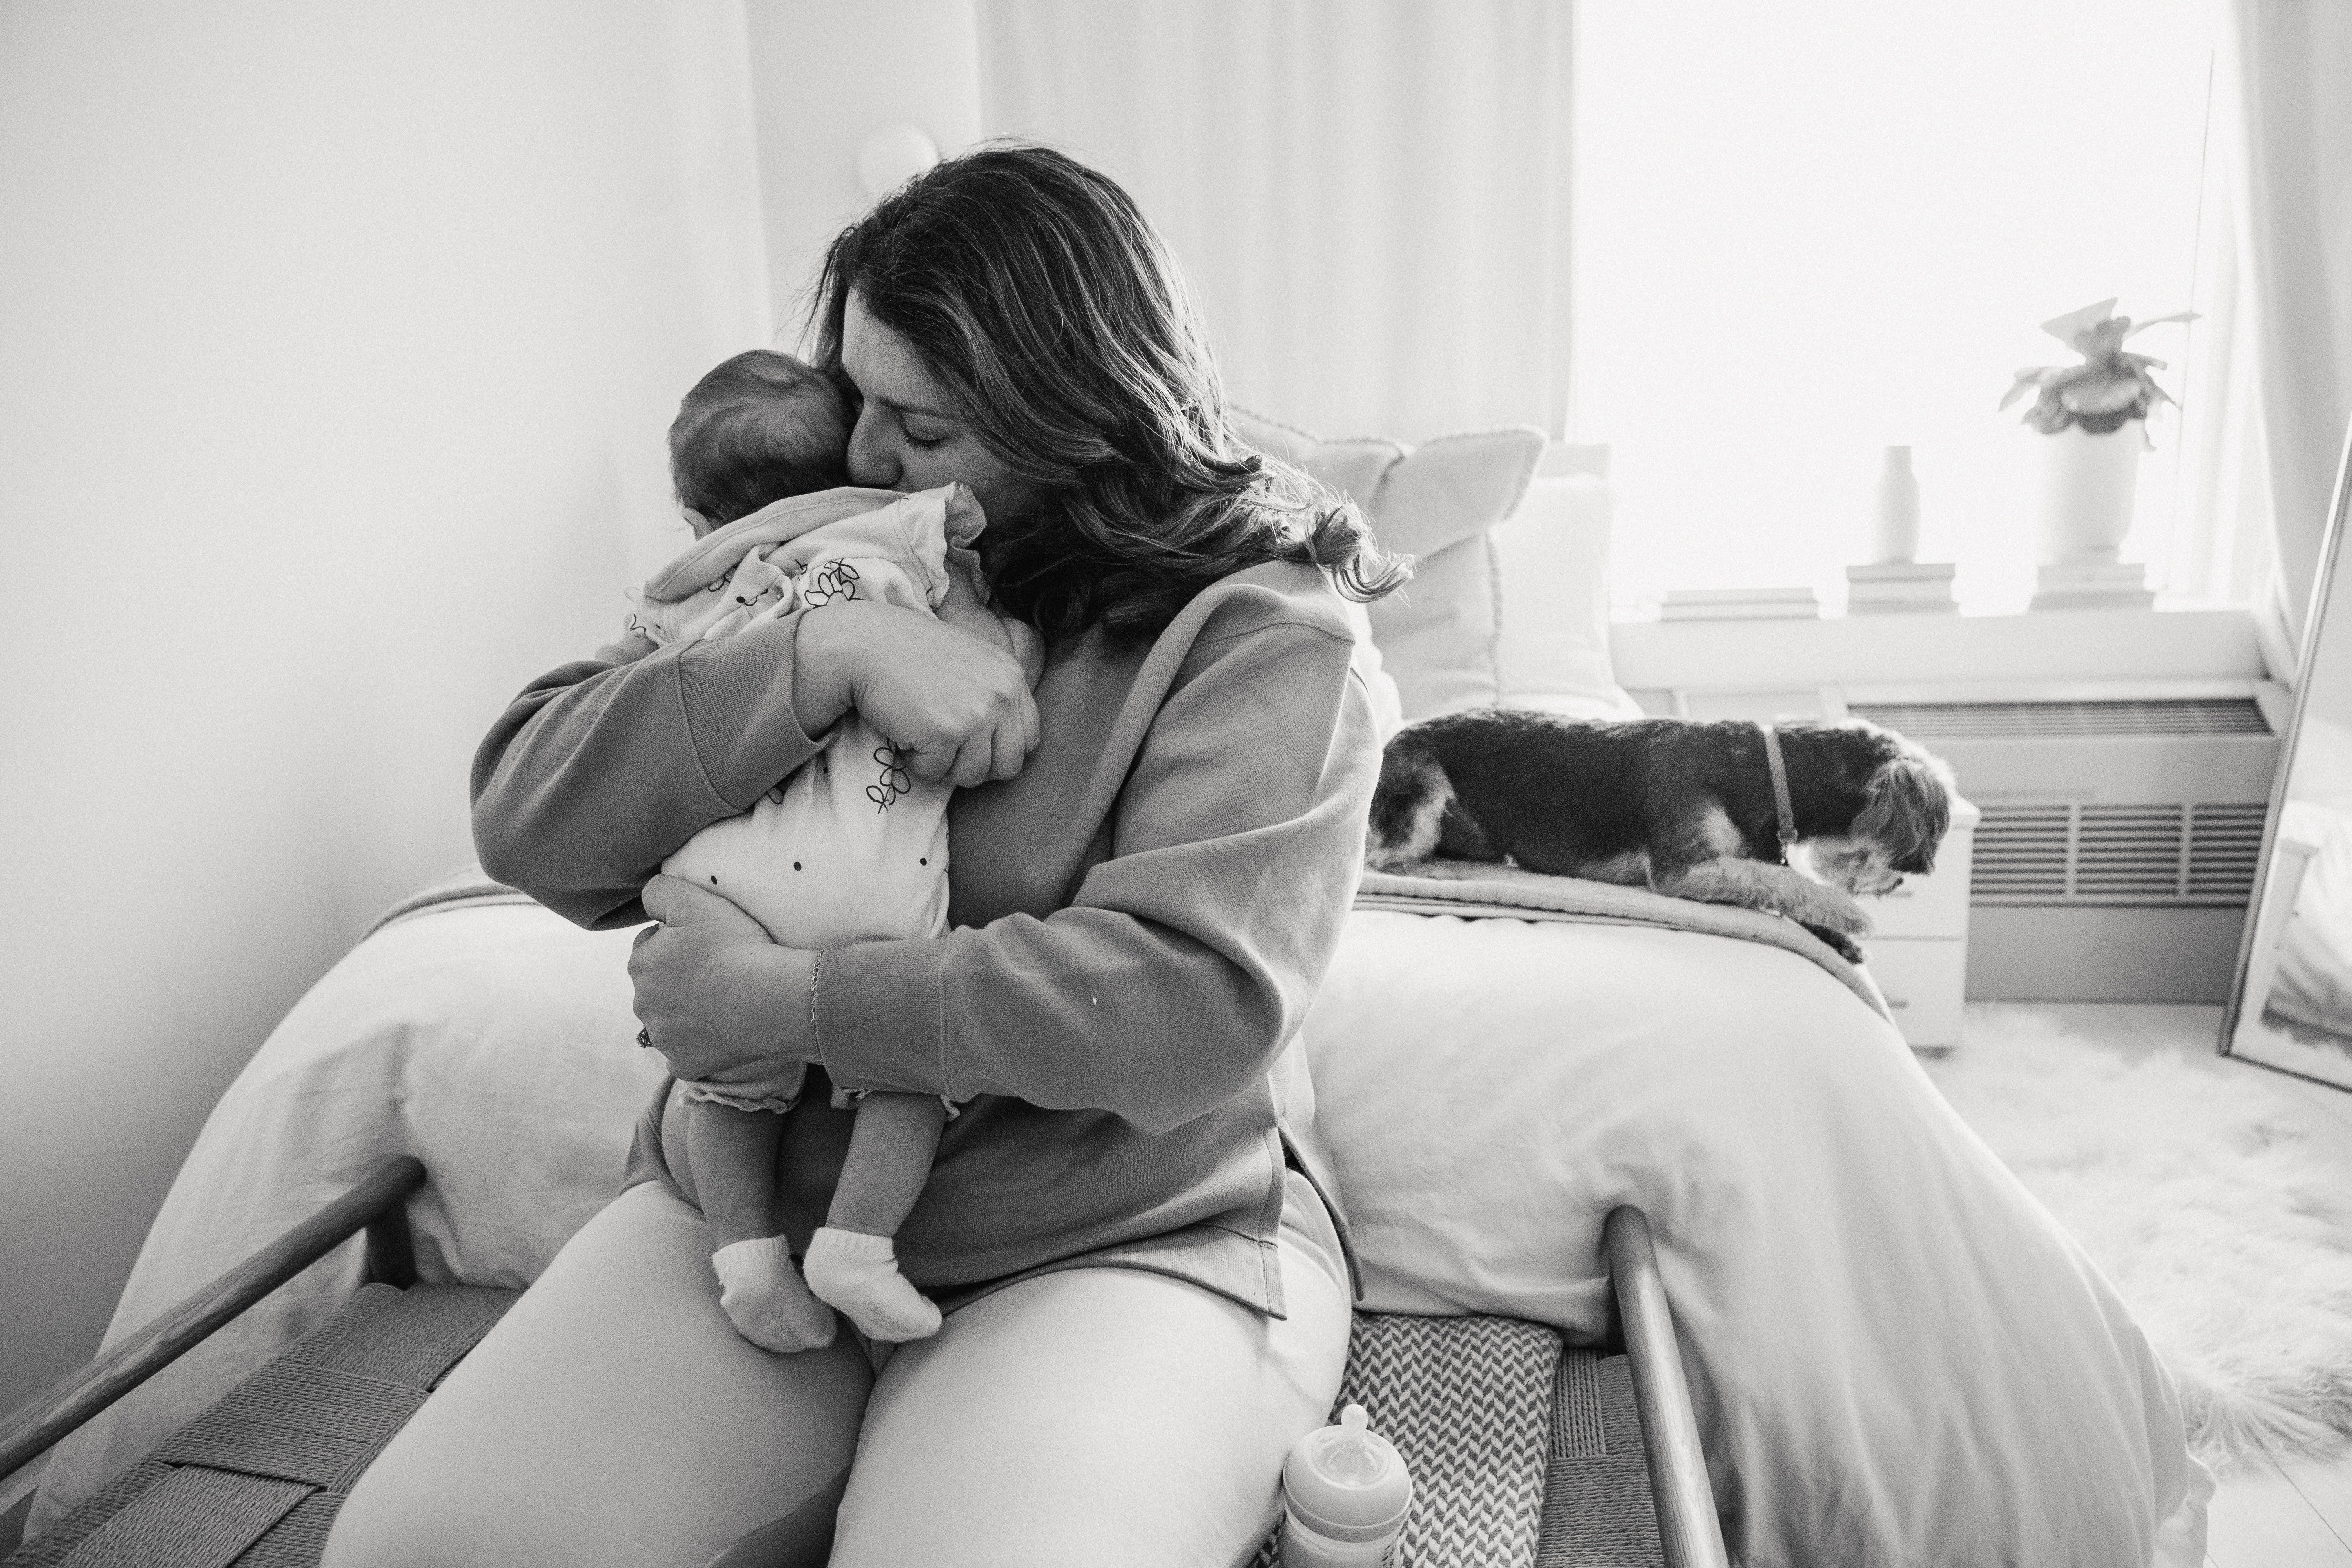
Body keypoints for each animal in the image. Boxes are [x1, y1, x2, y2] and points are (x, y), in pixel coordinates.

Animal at [1374, 710, 1957, 959]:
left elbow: (1775, 883)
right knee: (1380, 858)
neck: (1766, 773)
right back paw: (1435, 870)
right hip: (1418, 794)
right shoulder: (1684, 868)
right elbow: (1779, 880)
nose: (1904, 881)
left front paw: (1836, 935)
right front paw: (1847, 914)